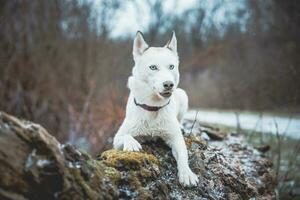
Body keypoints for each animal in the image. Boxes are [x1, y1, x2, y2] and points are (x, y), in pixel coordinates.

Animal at [113, 30, 199, 186]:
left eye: (171, 67)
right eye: (153, 67)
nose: (169, 84)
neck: (153, 108)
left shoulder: (176, 138)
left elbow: (183, 156)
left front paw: (187, 174)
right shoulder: (116, 140)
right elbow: (126, 136)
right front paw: (132, 143)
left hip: (183, 95)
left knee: (180, 119)